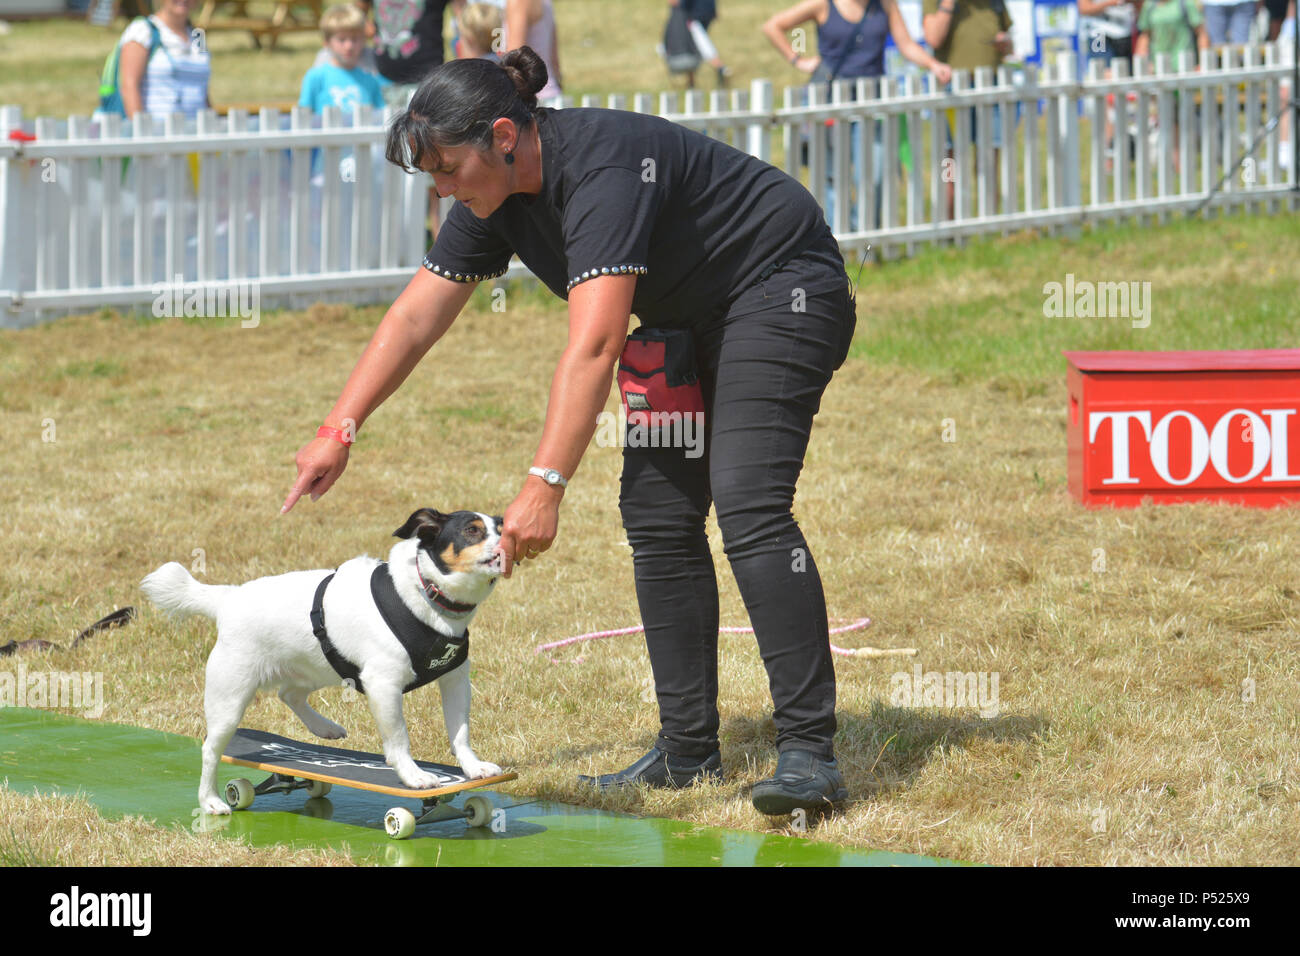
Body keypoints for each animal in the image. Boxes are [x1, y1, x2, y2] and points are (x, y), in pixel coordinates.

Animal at [142, 509, 504, 816]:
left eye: (500, 528)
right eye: (472, 530)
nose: (507, 544)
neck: (425, 594)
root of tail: (228, 599)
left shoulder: (455, 680)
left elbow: (460, 733)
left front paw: (473, 768)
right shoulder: (384, 685)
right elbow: (399, 738)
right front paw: (414, 776)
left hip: (318, 665)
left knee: (289, 693)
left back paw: (323, 727)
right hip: (229, 697)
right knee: (210, 749)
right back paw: (211, 800)